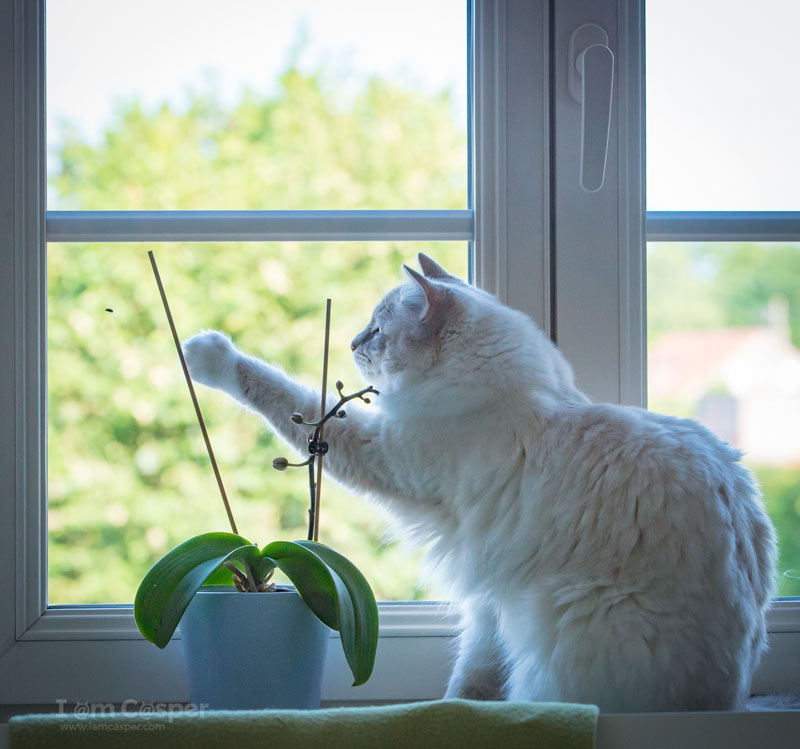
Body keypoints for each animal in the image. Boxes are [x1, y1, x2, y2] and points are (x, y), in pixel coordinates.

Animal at [186, 254, 776, 712]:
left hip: (557, 615)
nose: (351, 342)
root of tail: (723, 703)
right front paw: (455, 713)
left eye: (376, 330)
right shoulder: (491, 601)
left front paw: (208, 355)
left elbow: (288, 398)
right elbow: (471, 679)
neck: (520, 391)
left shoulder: (382, 453)